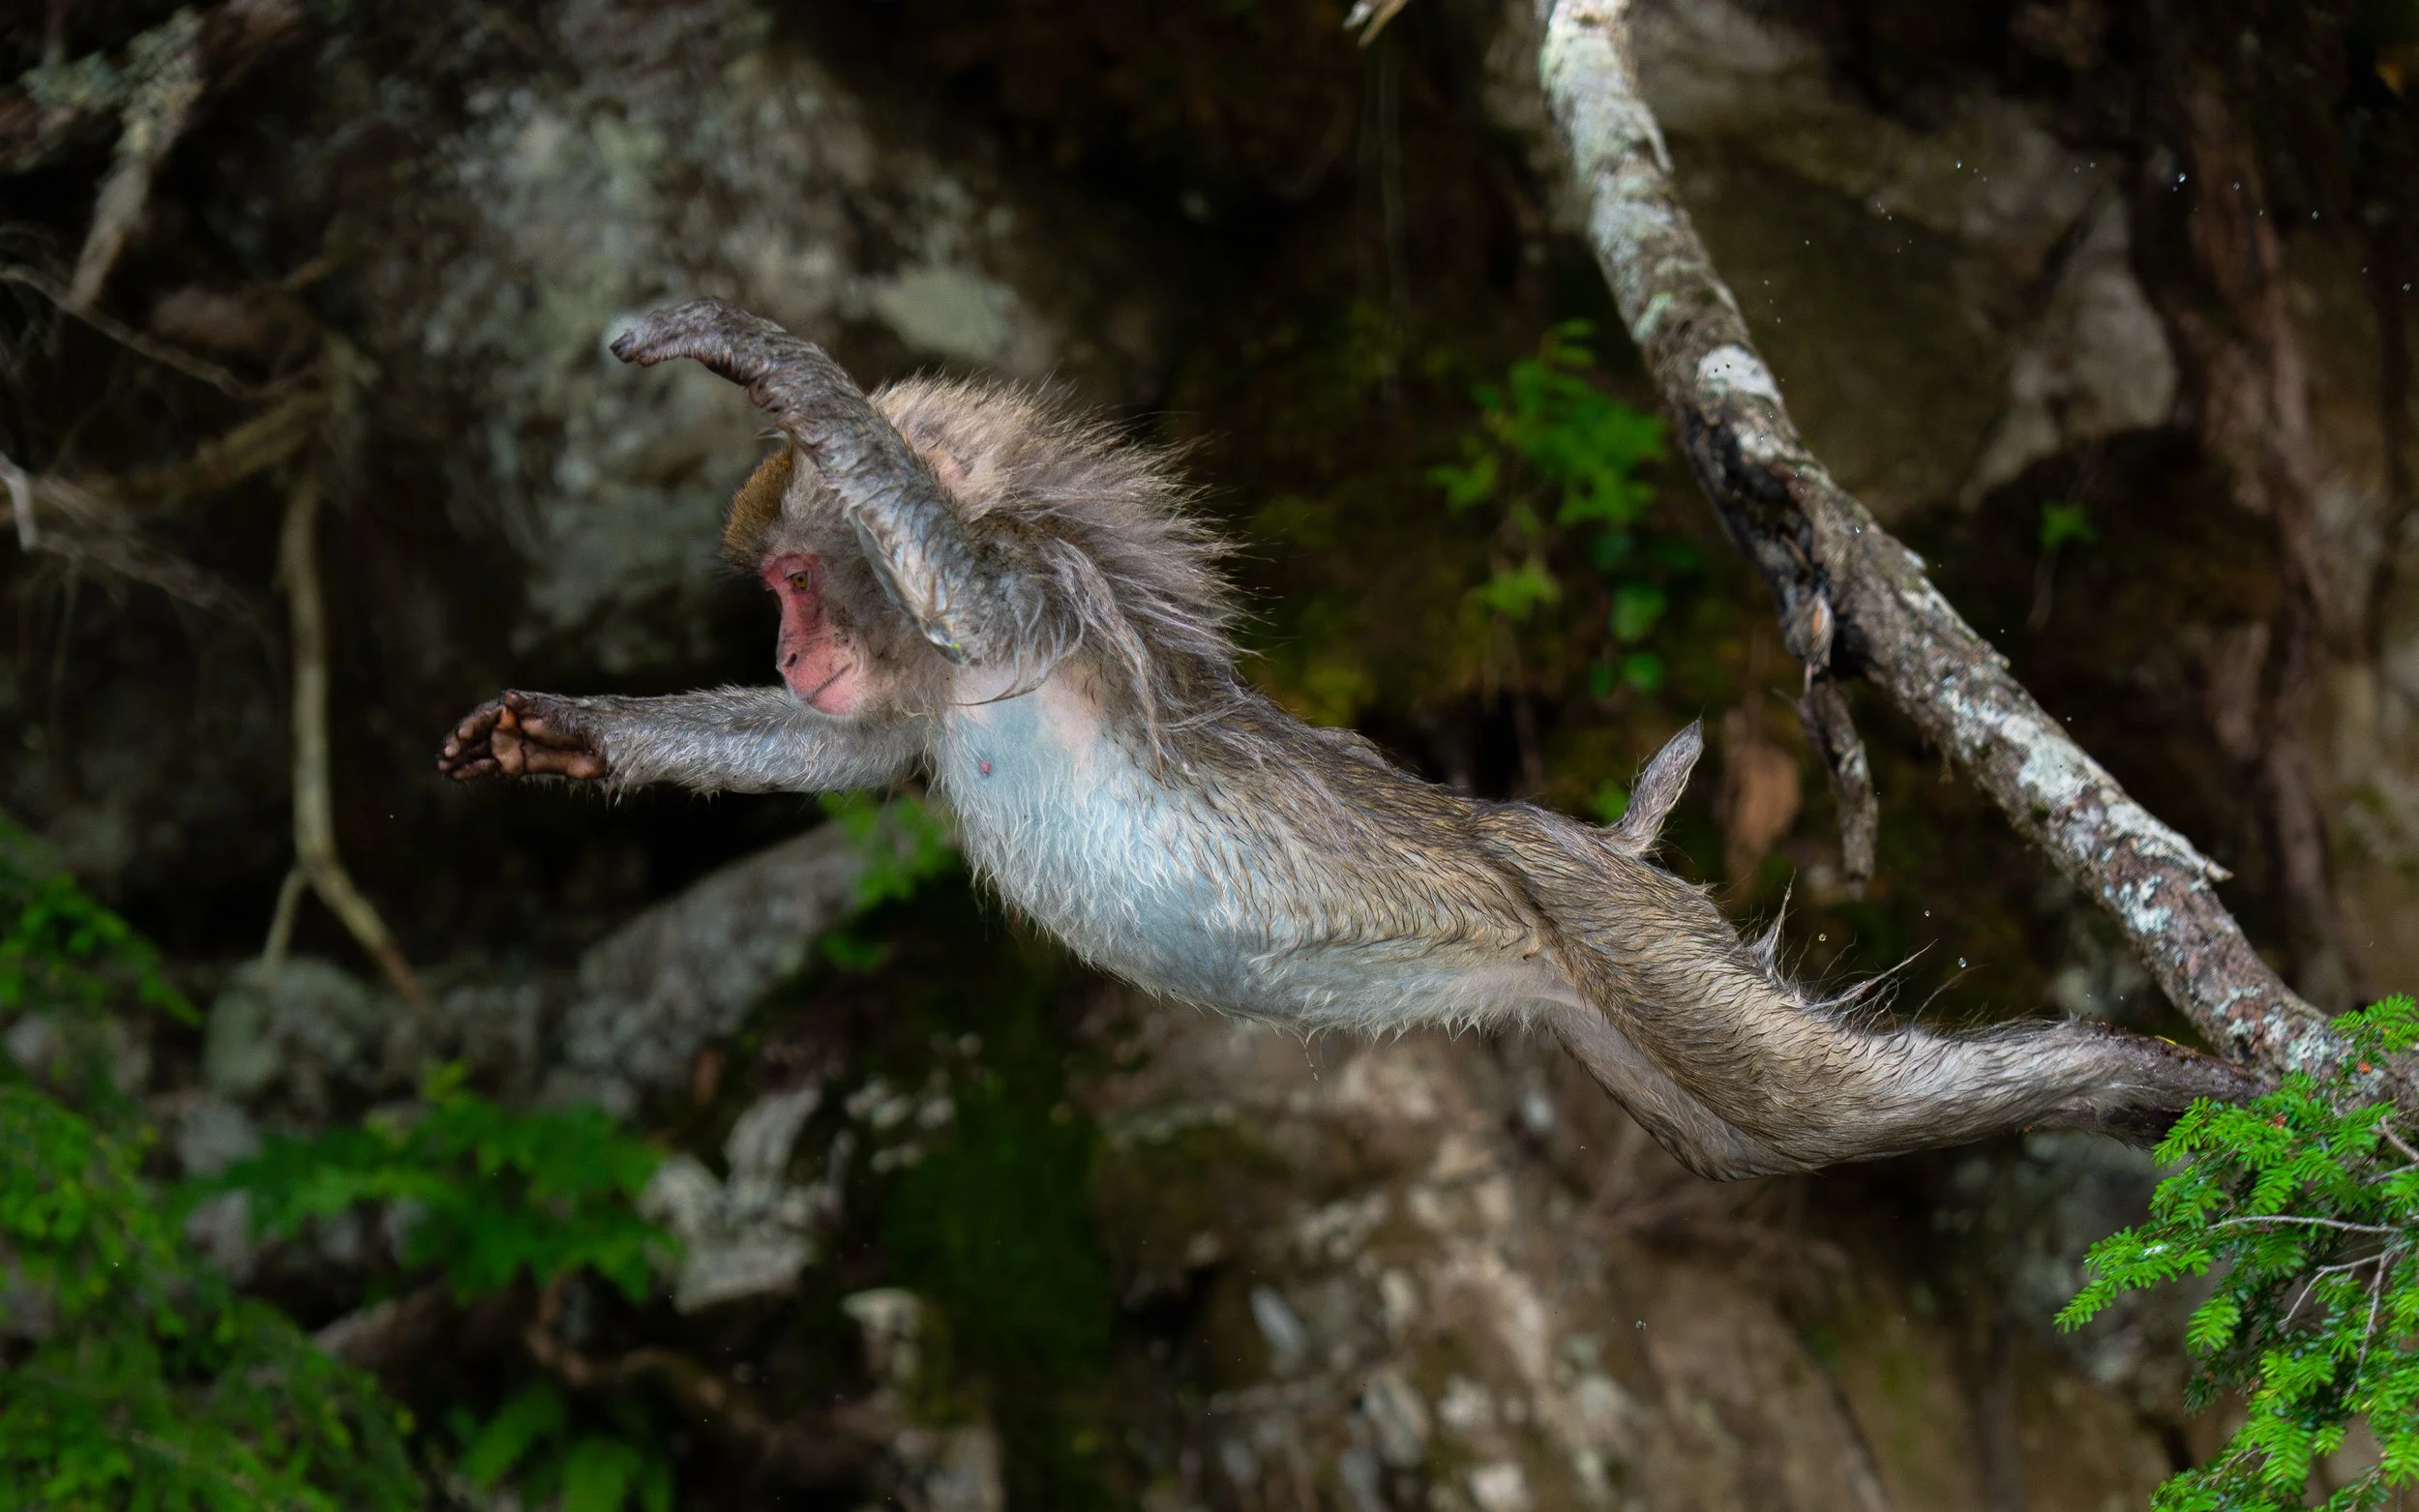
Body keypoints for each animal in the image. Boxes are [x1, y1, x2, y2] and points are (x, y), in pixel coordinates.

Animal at [438, 298, 2253, 1180]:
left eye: (796, 578)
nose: (789, 647)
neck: (957, 673)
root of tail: (1584, 850)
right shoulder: (938, 681)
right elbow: (853, 763)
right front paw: (570, 733)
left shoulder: (1021, 600)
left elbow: (928, 549)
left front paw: (761, 360)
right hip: (1605, 1013)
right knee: (1761, 1138)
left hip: (1625, 940)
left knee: (1823, 1099)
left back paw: (2188, 1080)